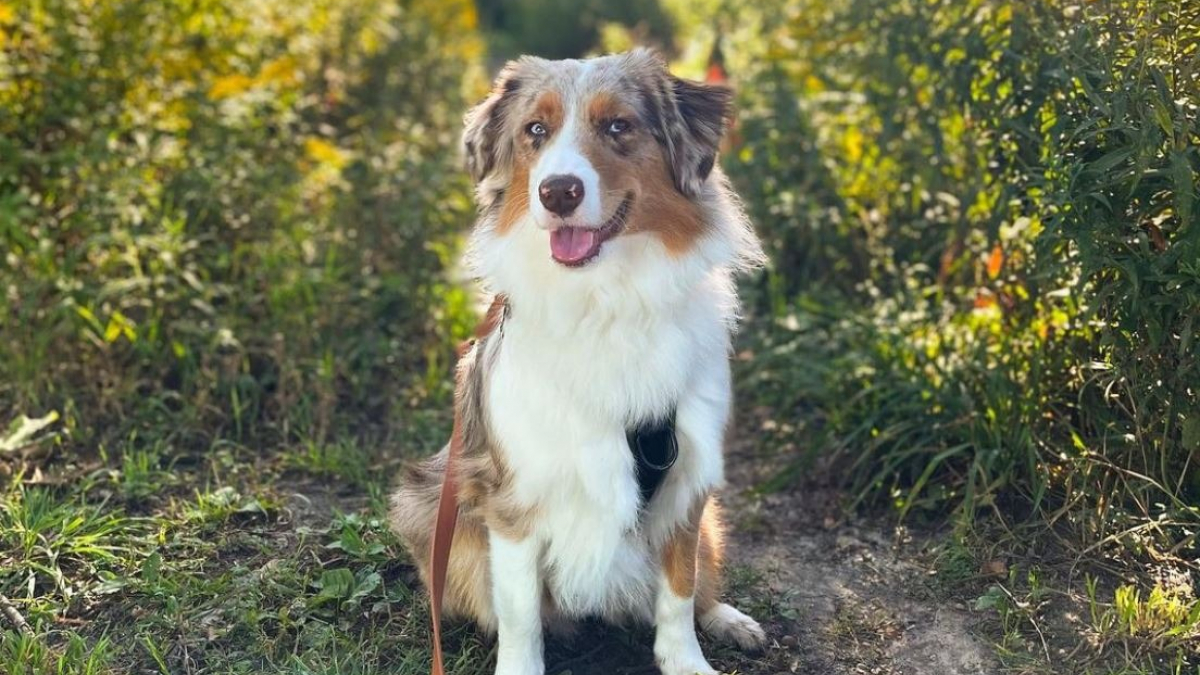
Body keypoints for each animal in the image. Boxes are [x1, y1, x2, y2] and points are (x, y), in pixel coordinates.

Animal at [393, 48, 768, 672]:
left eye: (617, 126)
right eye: (534, 131)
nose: (558, 192)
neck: (605, 300)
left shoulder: (687, 479)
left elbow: (679, 588)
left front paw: (687, 661)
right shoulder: (513, 495)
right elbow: (520, 612)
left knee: (702, 579)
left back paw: (729, 619)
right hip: (431, 511)